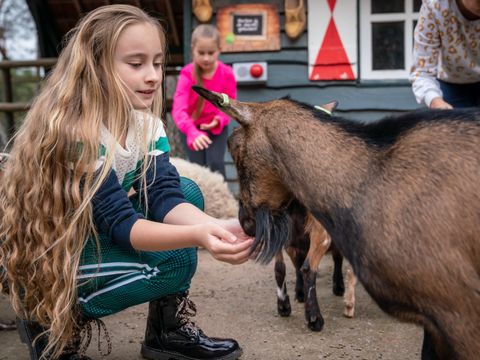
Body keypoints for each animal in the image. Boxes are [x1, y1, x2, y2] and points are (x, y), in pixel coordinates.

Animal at [191, 86, 480, 360]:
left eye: (234, 148)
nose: (245, 222)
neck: (368, 176)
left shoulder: (456, 312)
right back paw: (315, 316)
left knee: (289, 266)